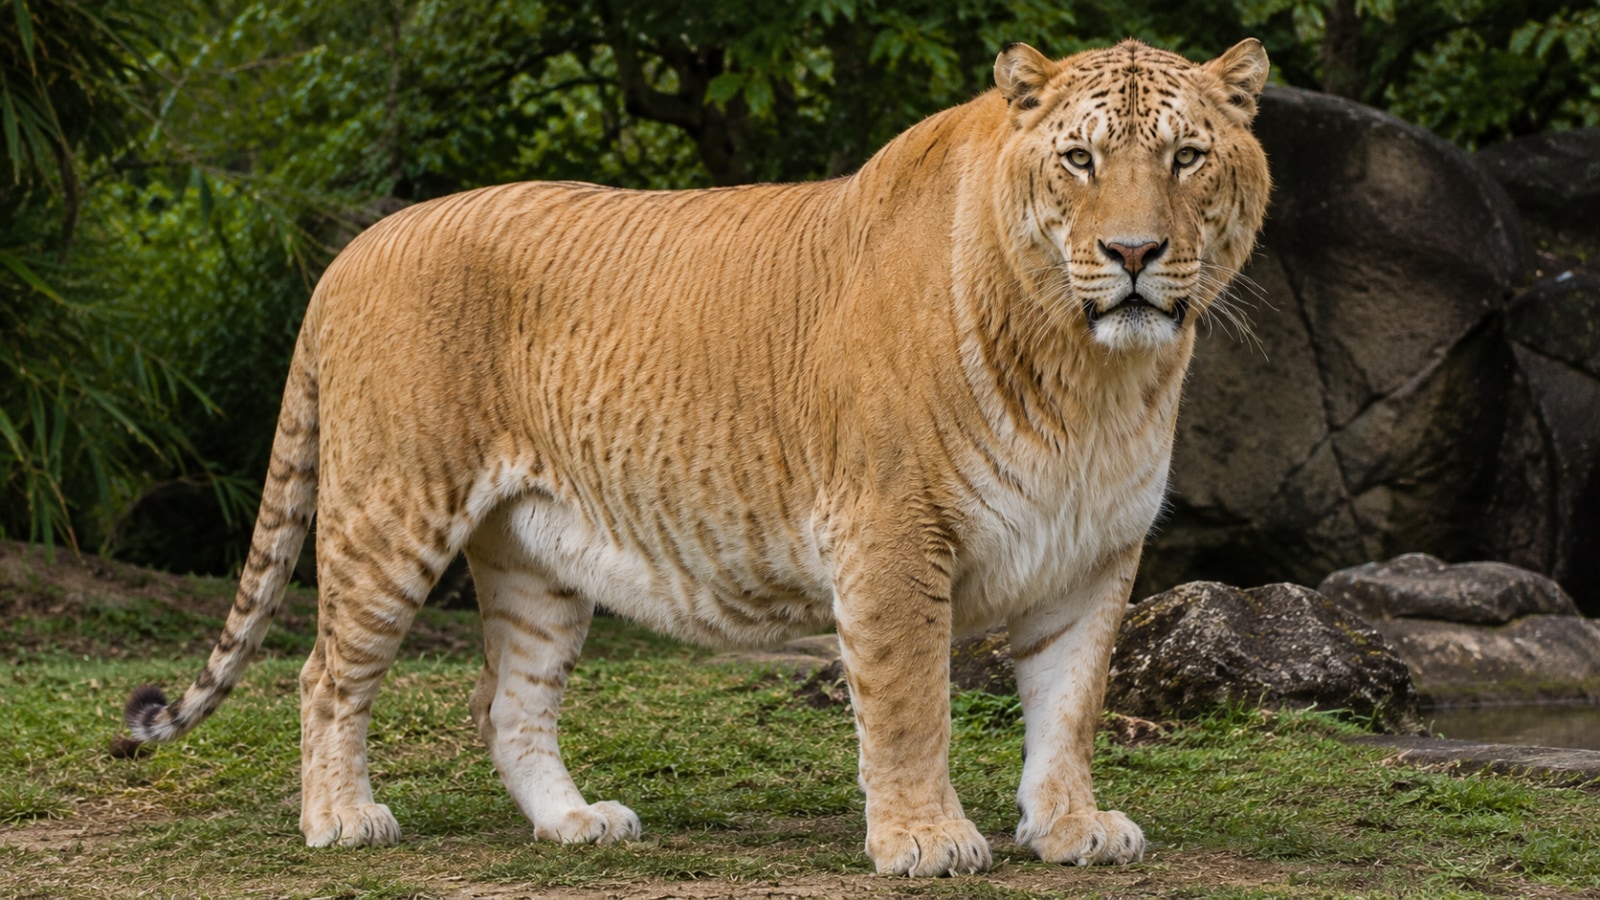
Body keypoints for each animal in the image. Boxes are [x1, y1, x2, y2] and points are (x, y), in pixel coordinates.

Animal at [120, 37, 1271, 877]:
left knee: (507, 702)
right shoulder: (890, 531)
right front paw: (925, 841)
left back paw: (574, 823)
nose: (1133, 254)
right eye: (1080, 160)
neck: (1091, 378)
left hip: (533, 553)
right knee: (325, 673)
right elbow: (909, 703)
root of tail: (350, 252)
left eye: (1185, 157)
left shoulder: (1094, 551)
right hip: (390, 509)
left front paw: (1071, 830)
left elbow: (1071, 706)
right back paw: (342, 819)